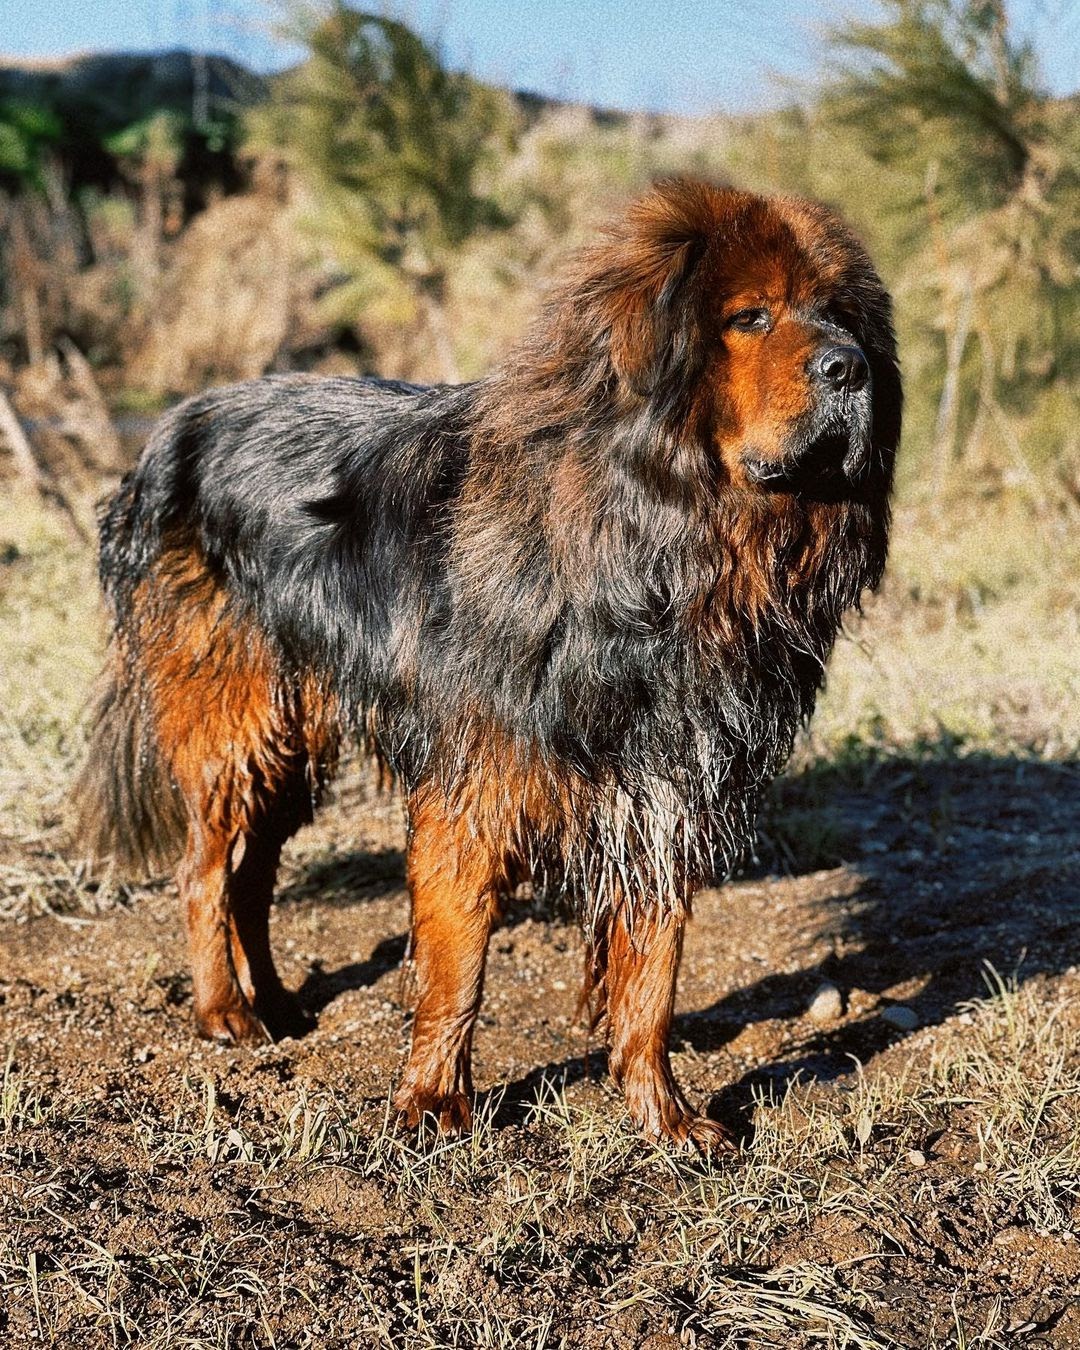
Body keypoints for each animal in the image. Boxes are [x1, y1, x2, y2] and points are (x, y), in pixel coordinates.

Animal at [75, 179, 896, 1150]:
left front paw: (665, 1116)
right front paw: (434, 1103)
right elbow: (457, 965)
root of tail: (172, 427)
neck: (662, 548)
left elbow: (654, 973)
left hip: (292, 734)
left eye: (840, 315)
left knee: (254, 874)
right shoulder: (478, 784)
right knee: (207, 871)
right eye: (751, 317)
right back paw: (223, 1013)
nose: (852, 369)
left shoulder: (670, 785)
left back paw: (274, 1002)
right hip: (235, 721)